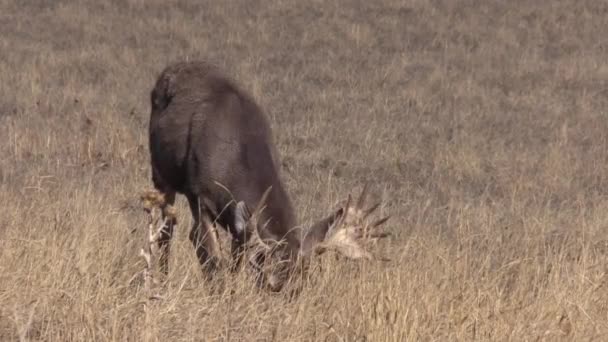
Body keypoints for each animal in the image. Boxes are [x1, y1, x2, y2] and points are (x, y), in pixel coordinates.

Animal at [144, 60, 390, 292]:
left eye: (299, 289)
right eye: (273, 287)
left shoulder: (240, 223)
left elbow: (235, 264)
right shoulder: (200, 196)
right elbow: (211, 257)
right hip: (159, 172)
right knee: (164, 229)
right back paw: (161, 281)